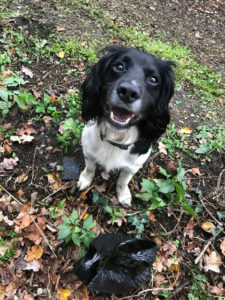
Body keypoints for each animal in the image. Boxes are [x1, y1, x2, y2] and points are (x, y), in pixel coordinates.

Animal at [78, 46, 176, 206]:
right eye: (119, 66)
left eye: (153, 79)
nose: (128, 91)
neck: (117, 137)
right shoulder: (88, 150)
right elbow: (90, 168)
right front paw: (85, 179)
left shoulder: (133, 166)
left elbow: (123, 181)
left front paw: (123, 195)